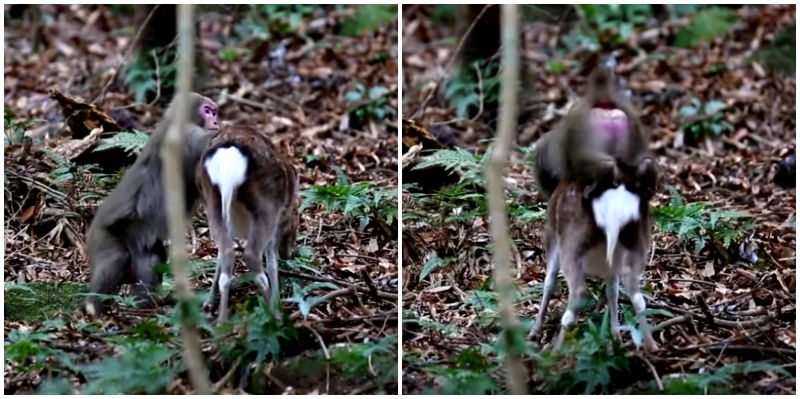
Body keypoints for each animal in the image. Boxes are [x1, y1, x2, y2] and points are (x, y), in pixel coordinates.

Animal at [83, 92, 220, 318]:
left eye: (214, 112)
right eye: (207, 111)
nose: (216, 121)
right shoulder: (191, 141)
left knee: (152, 258)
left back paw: (140, 308)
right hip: (101, 235)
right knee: (117, 258)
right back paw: (91, 309)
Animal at [196, 126, 300, 324]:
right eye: (296, 222)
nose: (290, 253)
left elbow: (219, 257)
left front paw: (208, 302)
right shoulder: (275, 228)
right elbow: (272, 262)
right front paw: (277, 303)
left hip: (212, 202)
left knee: (227, 255)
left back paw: (221, 321)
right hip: (266, 207)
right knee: (252, 256)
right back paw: (276, 317)